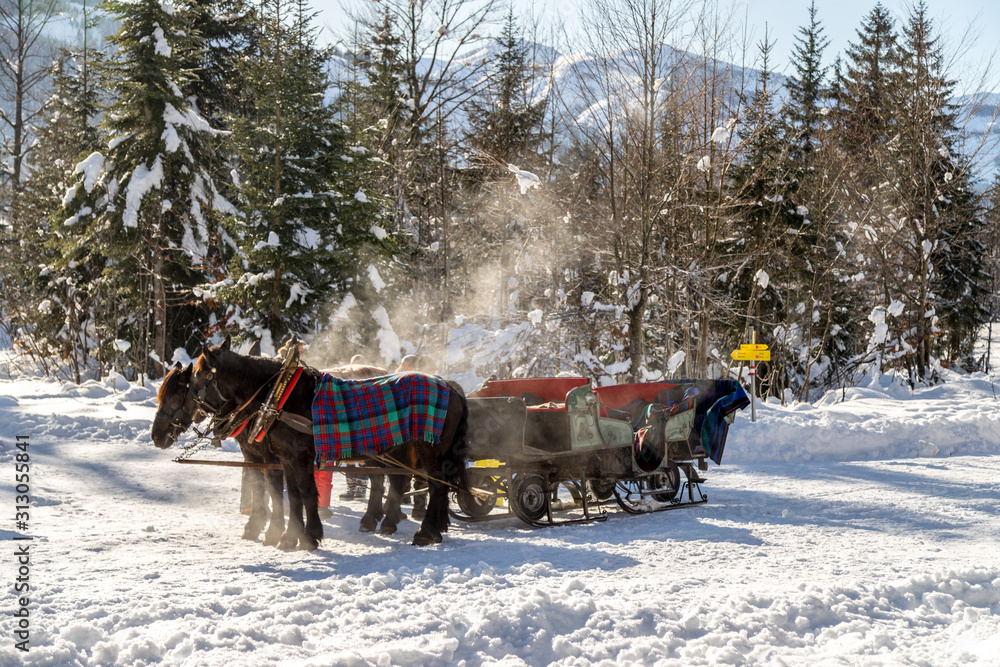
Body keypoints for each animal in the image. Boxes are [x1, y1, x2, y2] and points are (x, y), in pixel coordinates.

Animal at [153, 337, 470, 550]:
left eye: (188, 384)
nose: (157, 435)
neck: (276, 398)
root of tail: (450, 385)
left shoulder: (294, 457)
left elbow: (302, 493)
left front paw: (304, 535)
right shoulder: (281, 457)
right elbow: (290, 495)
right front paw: (288, 535)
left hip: (428, 449)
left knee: (432, 484)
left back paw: (424, 531)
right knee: (401, 481)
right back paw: (400, 523)